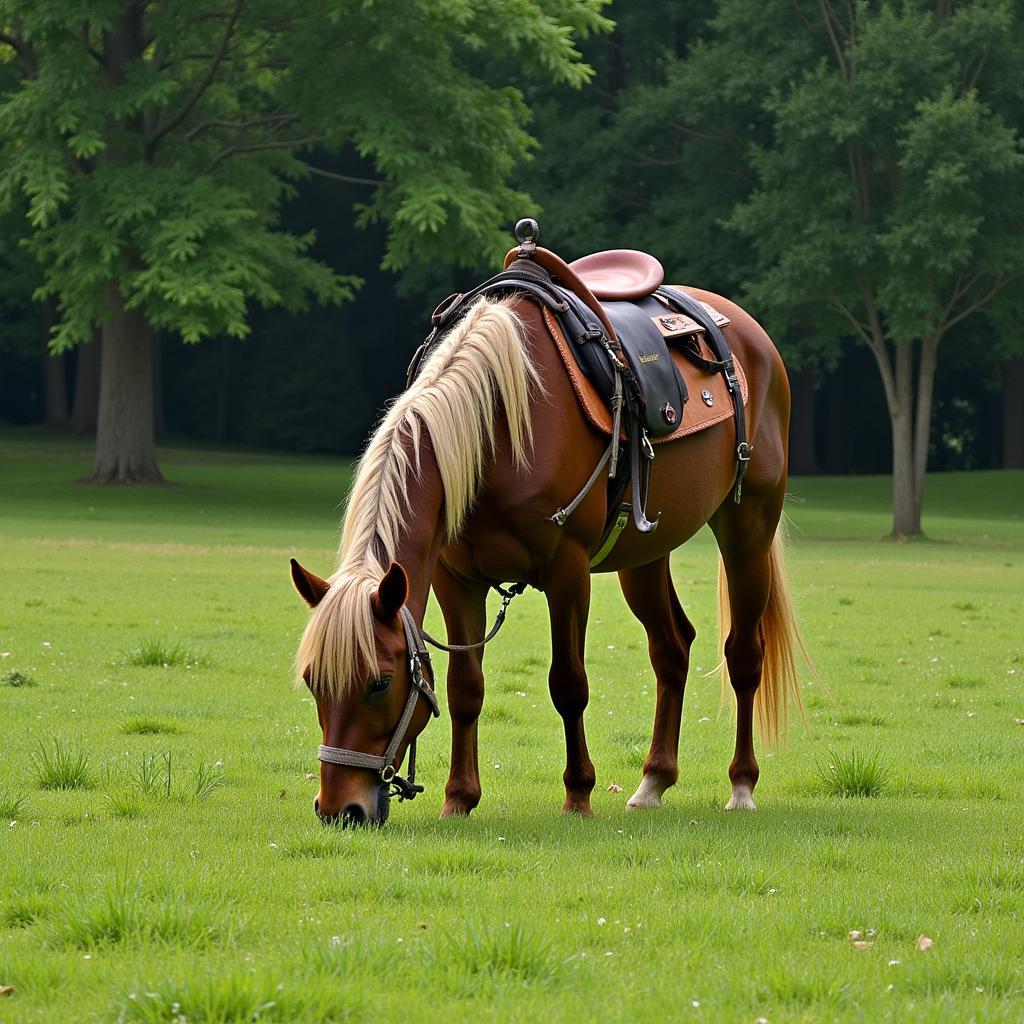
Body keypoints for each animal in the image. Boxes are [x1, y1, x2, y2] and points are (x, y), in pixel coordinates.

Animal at [292, 264, 811, 823]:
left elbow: (568, 684)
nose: (339, 809)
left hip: (748, 528)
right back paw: (653, 780)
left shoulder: (568, 572)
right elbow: (464, 689)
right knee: (671, 649)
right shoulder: (456, 580)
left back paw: (742, 784)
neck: (495, 427)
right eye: (313, 680)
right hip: (645, 554)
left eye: (380, 682)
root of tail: (748, 332)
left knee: (744, 655)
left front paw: (578, 793)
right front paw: (459, 797)